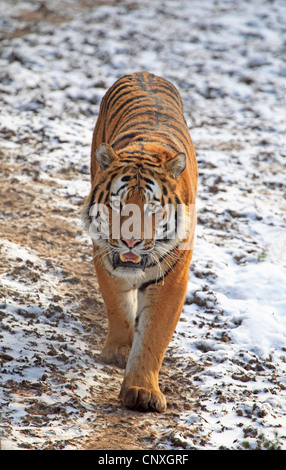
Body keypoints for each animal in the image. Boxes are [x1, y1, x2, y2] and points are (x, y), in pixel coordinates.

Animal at [81, 70, 198, 412]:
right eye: (117, 204)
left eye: (151, 207)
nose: (130, 243)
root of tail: (144, 72)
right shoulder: (104, 255)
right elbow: (117, 305)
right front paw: (119, 351)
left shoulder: (172, 276)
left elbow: (154, 334)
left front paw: (141, 391)